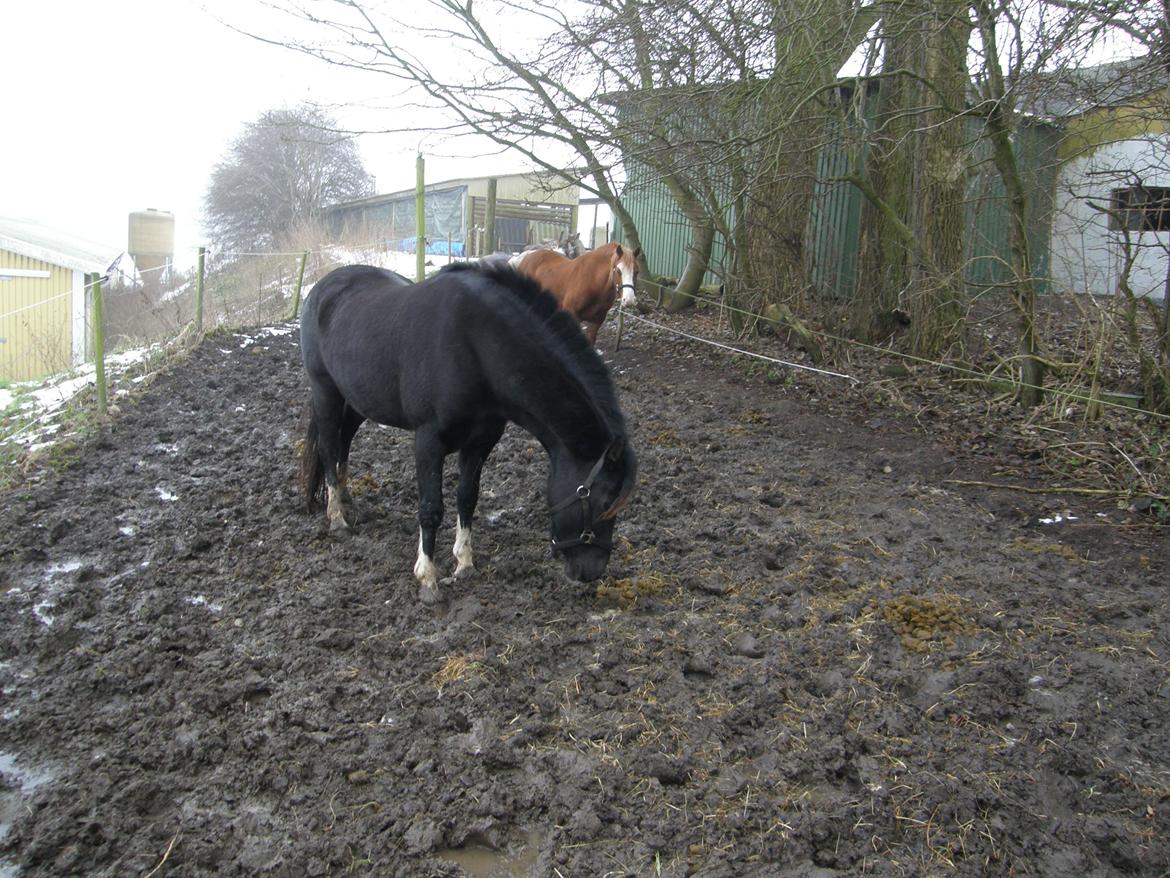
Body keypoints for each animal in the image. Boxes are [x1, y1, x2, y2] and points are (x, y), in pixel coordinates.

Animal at [297, 261, 636, 604]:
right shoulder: (428, 441)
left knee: (344, 440)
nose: (591, 571)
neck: (476, 345)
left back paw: (345, 496)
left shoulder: (481, 442)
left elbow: (467, 498)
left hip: (357, 399)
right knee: (328, 446)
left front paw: (464, 563)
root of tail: (321, 288)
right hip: (326, 392)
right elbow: (431, 509)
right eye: (602, 502)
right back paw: (337, 517)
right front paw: (428, 580)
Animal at [512, 248, 641, 346]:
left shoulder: (597, 321)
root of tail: (525, 258)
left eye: (637, 271)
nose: (629, 300)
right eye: (618, 270)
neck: (594, 281)